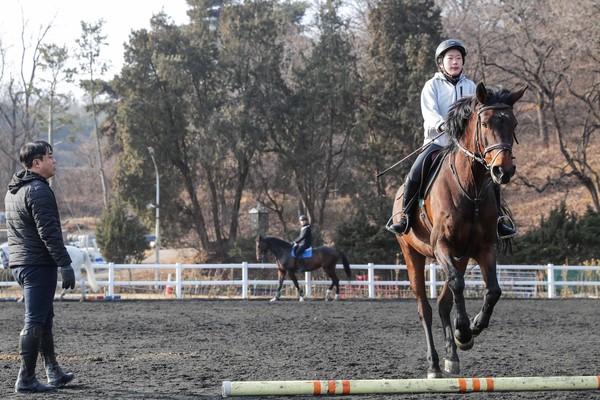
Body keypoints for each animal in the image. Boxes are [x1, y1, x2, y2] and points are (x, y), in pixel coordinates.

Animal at [392, 82, 528, 378]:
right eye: (485, 123)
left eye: (513, 123)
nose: (503, 171)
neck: (471, 186)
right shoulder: (442, 245)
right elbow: (457, 284)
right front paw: (463, 331)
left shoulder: (483, 247)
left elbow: (493, 291)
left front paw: (472, 329)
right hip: (412, 254)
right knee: (425, 308)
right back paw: (433, 363)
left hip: (461, 256)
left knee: (444, 303)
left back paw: (451, 357)